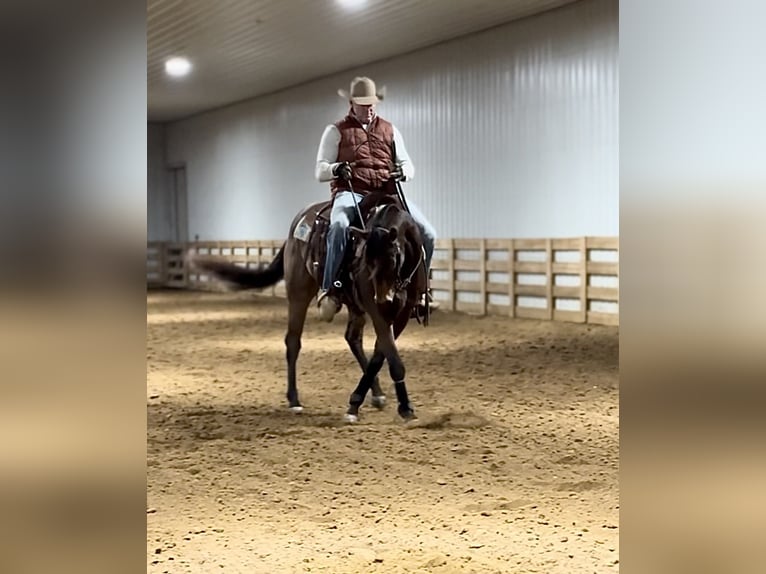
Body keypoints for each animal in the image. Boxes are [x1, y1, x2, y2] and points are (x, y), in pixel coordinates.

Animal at [186, 196, 426, 426]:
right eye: (366, 259)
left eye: (393, 257)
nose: (384, 299)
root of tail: (295, 229)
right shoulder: (376, 310)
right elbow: (391, 357)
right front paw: (399, 408)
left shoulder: (402, 314)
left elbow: (380, 354)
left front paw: (374, 403)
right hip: (299, 293)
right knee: (293, 341)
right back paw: (294, 401)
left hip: (355, 306)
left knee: (352, 338)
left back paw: (376, 394)